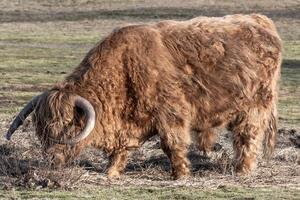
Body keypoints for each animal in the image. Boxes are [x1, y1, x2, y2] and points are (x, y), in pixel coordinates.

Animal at [4, 14, 282, 180]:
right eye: (41, 129)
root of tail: (259, 20)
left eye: (67, 124)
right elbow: (121, 150)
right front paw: (111, 172)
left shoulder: (171, 113)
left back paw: (242, 171)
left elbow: (172, 145)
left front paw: (180, 175)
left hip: (255, 106)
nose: (51, 160)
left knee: (246, 137)